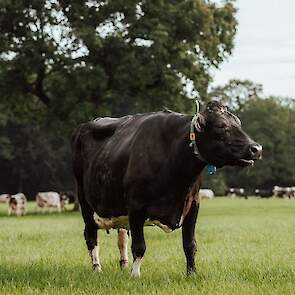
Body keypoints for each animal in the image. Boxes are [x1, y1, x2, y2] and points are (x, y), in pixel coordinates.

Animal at [72, 101, 264, 278]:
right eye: (221, 126)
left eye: (238, 123)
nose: (256, 148)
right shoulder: (136, 205)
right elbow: (139, 246)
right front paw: (135, 276)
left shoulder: (193, 203)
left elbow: (190, 244)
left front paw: (192, 274)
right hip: (84, 200)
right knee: (91, 235)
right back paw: (97, 269)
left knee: (122, 237)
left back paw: (124, 265)